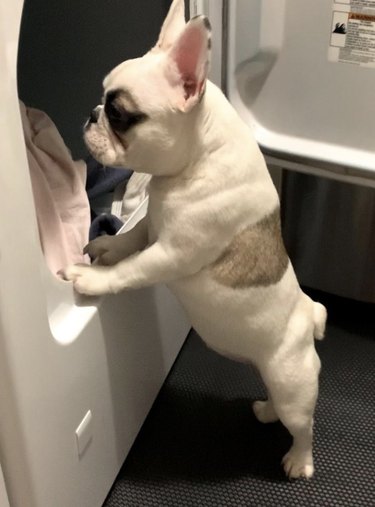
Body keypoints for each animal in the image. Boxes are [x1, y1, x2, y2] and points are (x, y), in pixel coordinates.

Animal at [63, 0, 328, 480]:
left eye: (119, 114)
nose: (92, 114)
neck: (197, 157)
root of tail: (309, 315)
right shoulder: (153, 225)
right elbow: (132, 240)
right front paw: (107, 247)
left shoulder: (171, 254)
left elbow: (132, 269)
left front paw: (93, 279)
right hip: (274, 376)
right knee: (277, 404)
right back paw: (265, 411)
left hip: (292, 382)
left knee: (303, 424)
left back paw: (299, 461)